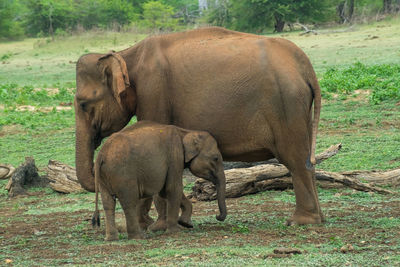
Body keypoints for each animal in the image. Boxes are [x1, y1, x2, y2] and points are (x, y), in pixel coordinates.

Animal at [75, 26, 324, 226]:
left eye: (83, 104)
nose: (94, 222)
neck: (125, 55)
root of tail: (306, 67)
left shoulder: (153, 91)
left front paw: (152, 224)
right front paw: (151, 223)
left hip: (286, 104)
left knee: (294, 158)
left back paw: (300, 221)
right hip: (299, 108)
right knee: (305, 157)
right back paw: (318, 219)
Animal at [92, 121, 227, 241]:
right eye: (216, 158)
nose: (217, 216)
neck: (185, 132)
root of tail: (101, 155)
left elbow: (165, 191)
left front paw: (186, 223)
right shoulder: (174, 156)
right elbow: (173, 188)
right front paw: (176, 231)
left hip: (104, 177)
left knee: (108, 203)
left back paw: (111, 239)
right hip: (123, 174)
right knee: (129, 202)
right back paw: (139, 237)